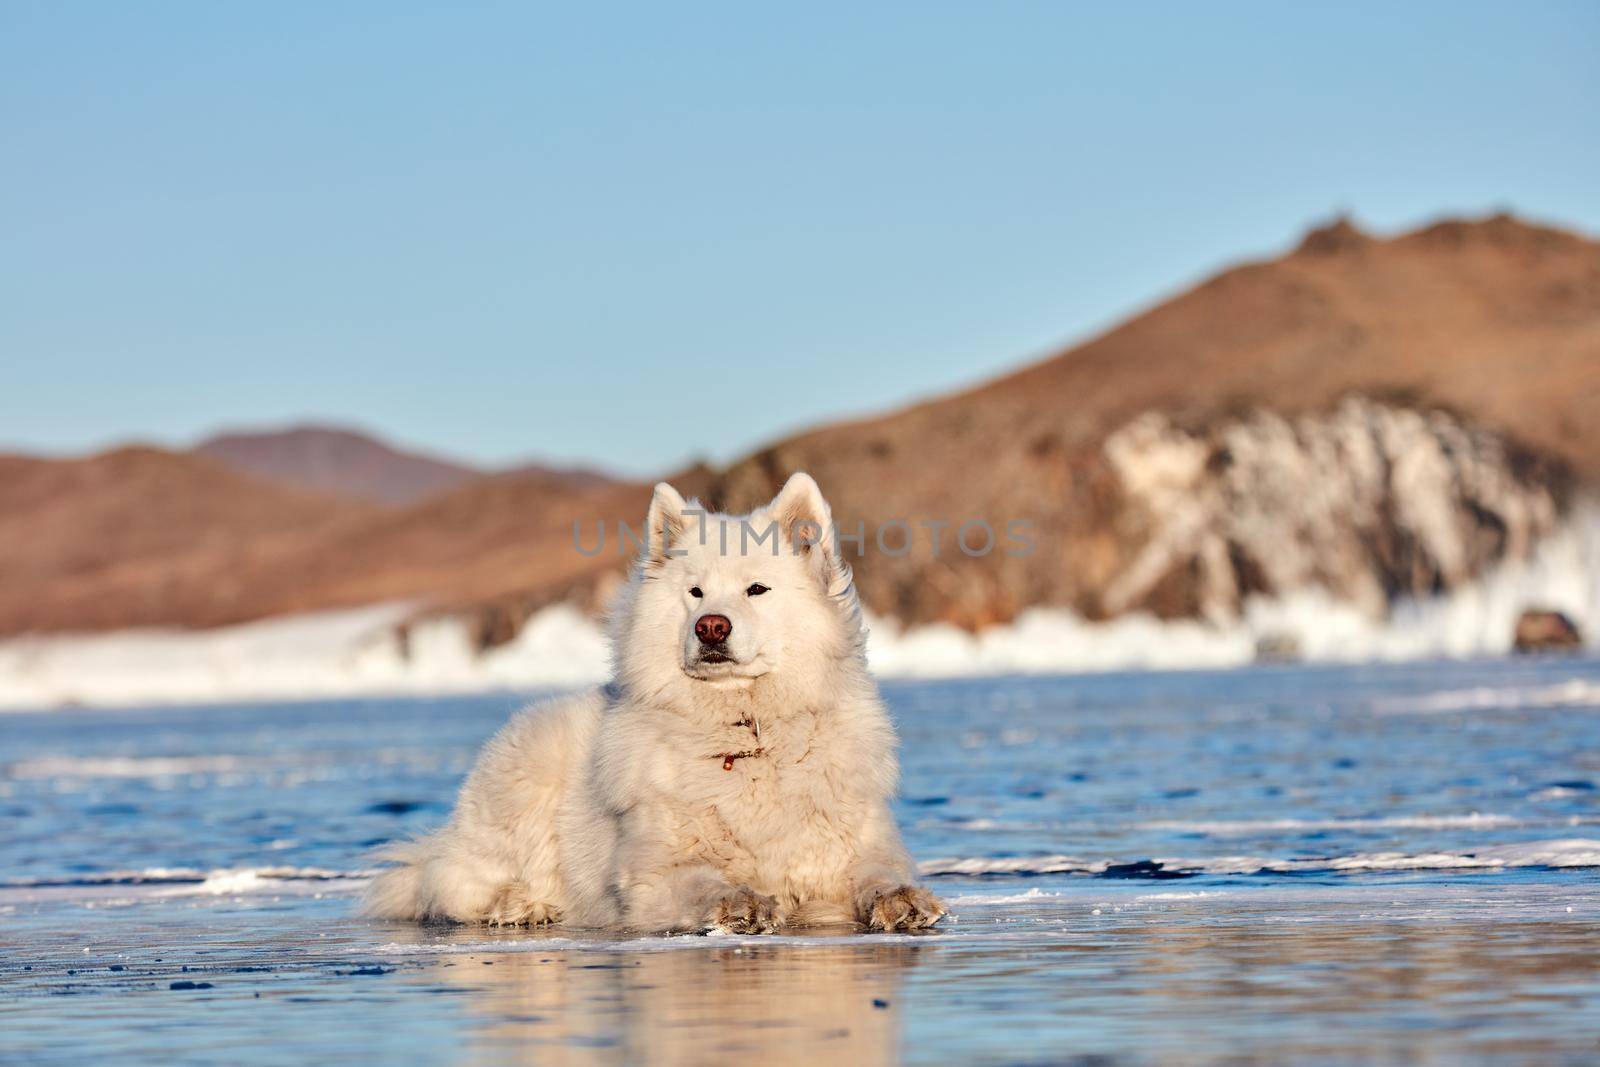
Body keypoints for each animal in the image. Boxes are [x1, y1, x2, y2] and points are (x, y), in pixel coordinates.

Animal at [368, 476, 940, 934]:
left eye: (757, 589)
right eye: (695, 592)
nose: (711, 626)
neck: (746, 735)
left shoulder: (854, 843)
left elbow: (878, 874)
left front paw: (903, 900)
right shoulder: (653, 871)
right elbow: (705, 881)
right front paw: (742, 904)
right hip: (525, 779)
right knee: (448, 883)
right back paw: (520, 905)